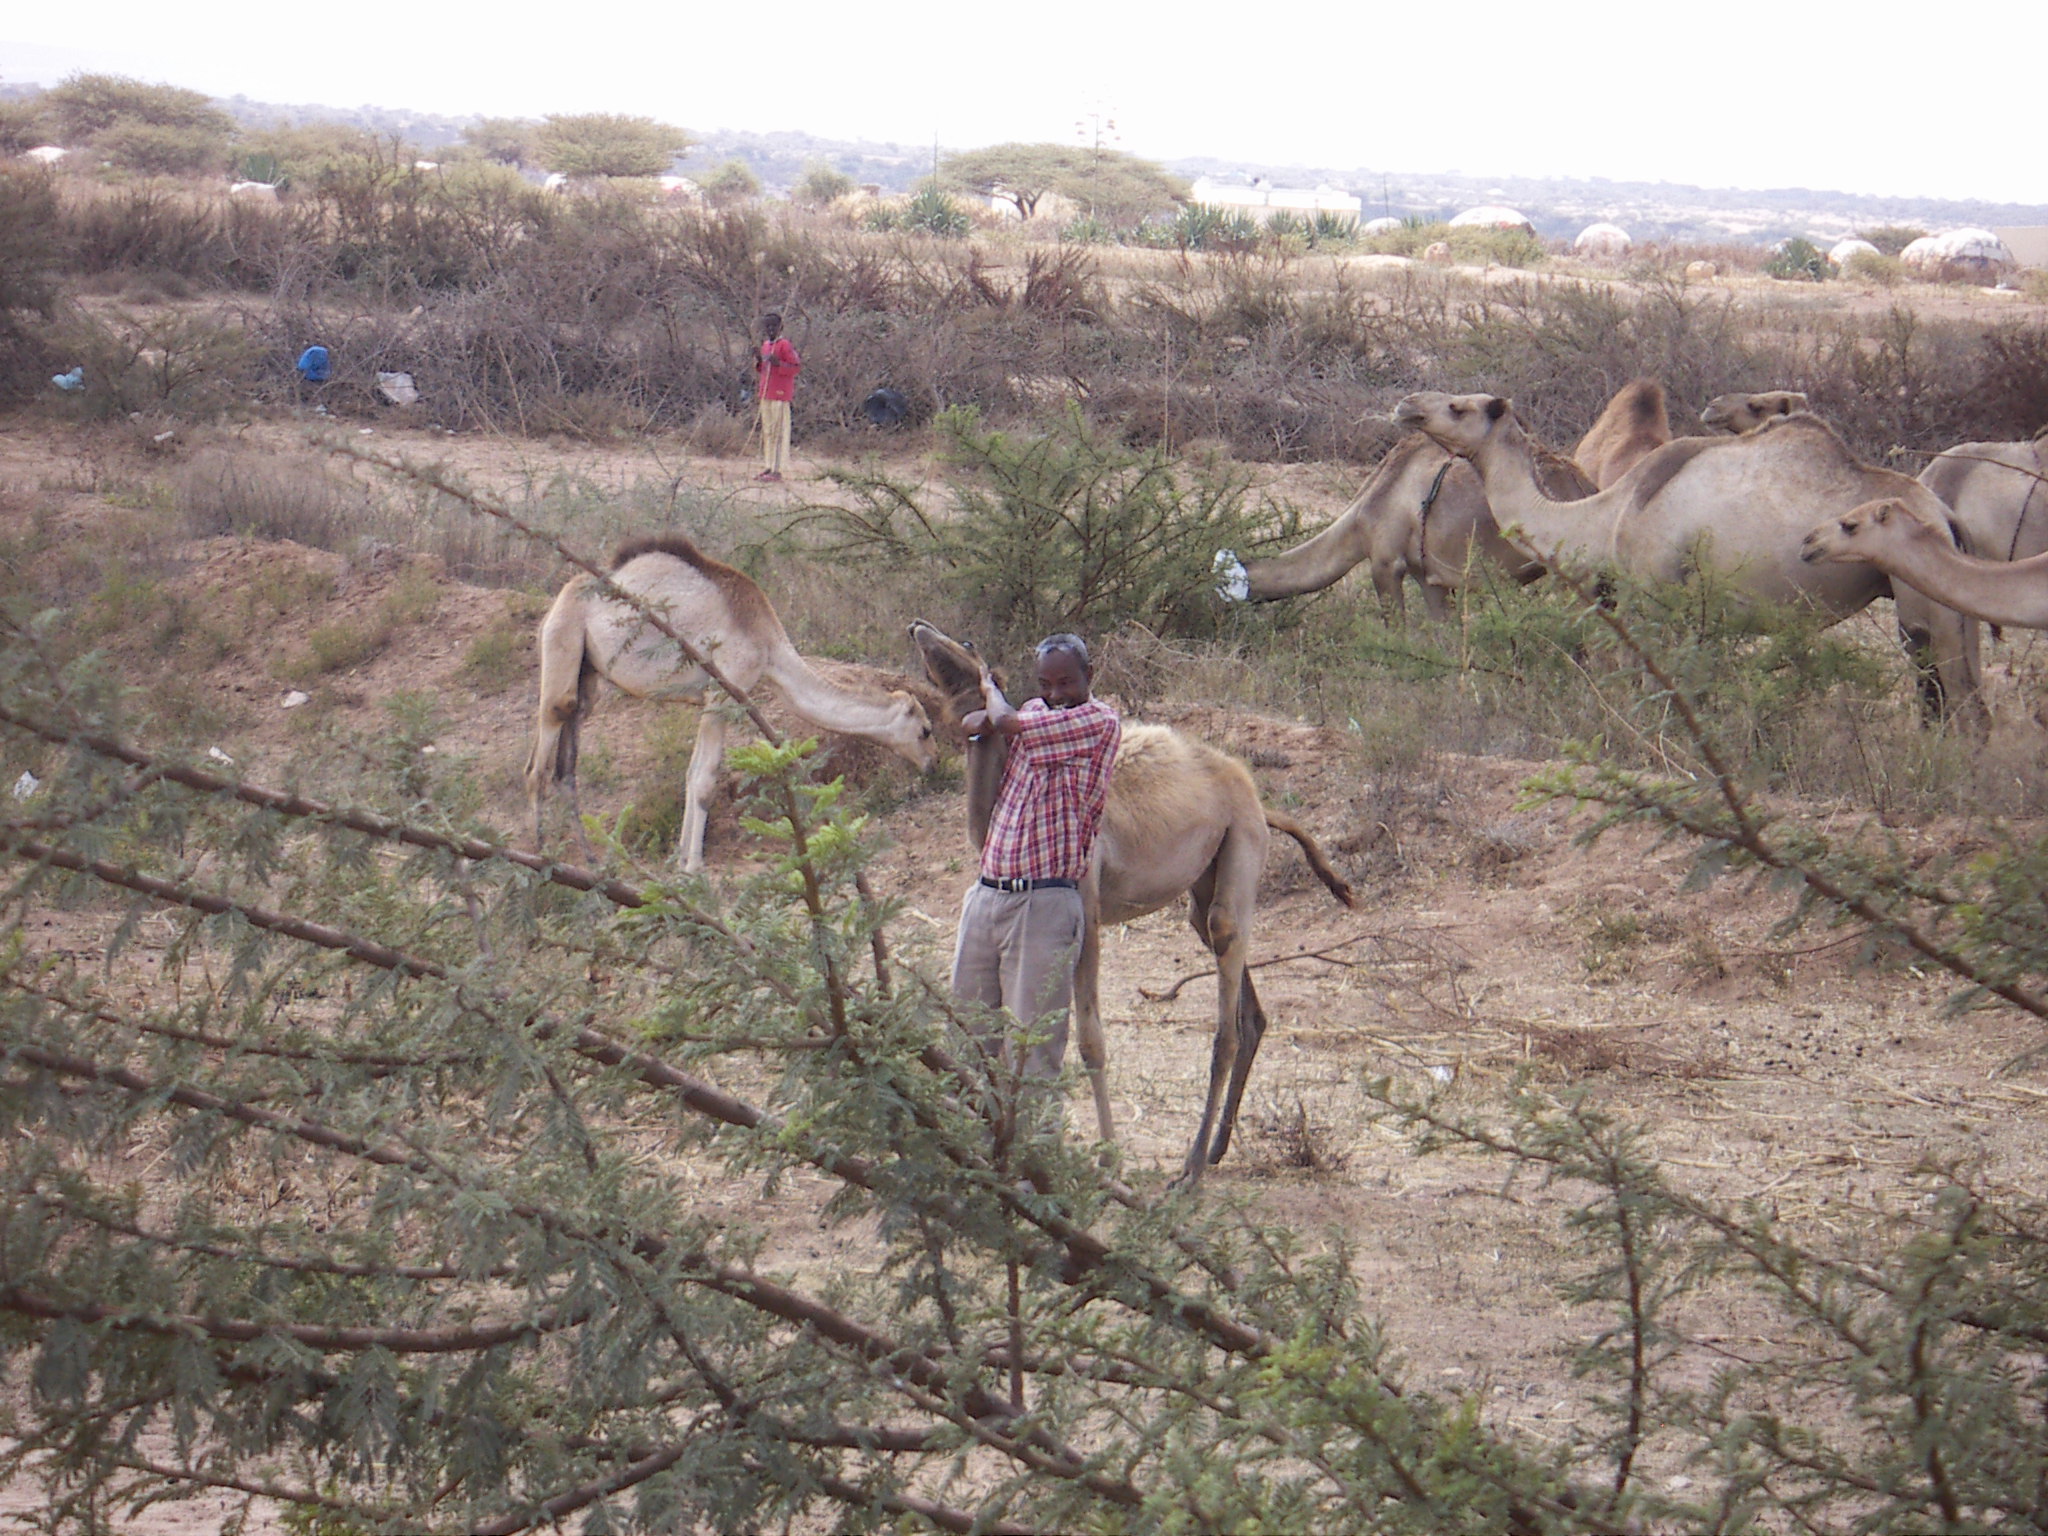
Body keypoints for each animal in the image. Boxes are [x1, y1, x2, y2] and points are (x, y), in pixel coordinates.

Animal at [528, 536, 942, 876]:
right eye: (925, 730)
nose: (933, 763)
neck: (768, 643)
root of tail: (557, 601)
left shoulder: (711, 699)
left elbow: (692, 773)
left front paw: (681, 861)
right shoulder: (724, 692)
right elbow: (705, 778)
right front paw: (694, 868)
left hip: (588, 673)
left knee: (567, 764)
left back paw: (591, 863)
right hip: (562, 641)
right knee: (541, 758)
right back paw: (541, 859)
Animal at [913, 618, 1359, 1187]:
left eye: (965, 646)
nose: (920, 626)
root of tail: (1258, 798)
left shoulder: (1086, 906)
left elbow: (1090, 1040)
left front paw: (1109, 1160)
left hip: (1241, 846)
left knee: (1226, 1010)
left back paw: (1191, 1167)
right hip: (1204, 883)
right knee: (1243, 999)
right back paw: (1218, 1148)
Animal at [1392, 399, 1982, 729]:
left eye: (1460, 407)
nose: (1407, 404)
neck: (1609, 514)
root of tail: (1947, 517)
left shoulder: (1656, 598)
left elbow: (1659, 689)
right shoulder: (1700, 620)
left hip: (1924, 605)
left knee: (1958, 694)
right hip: (1939, 603)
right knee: (1952, 687)